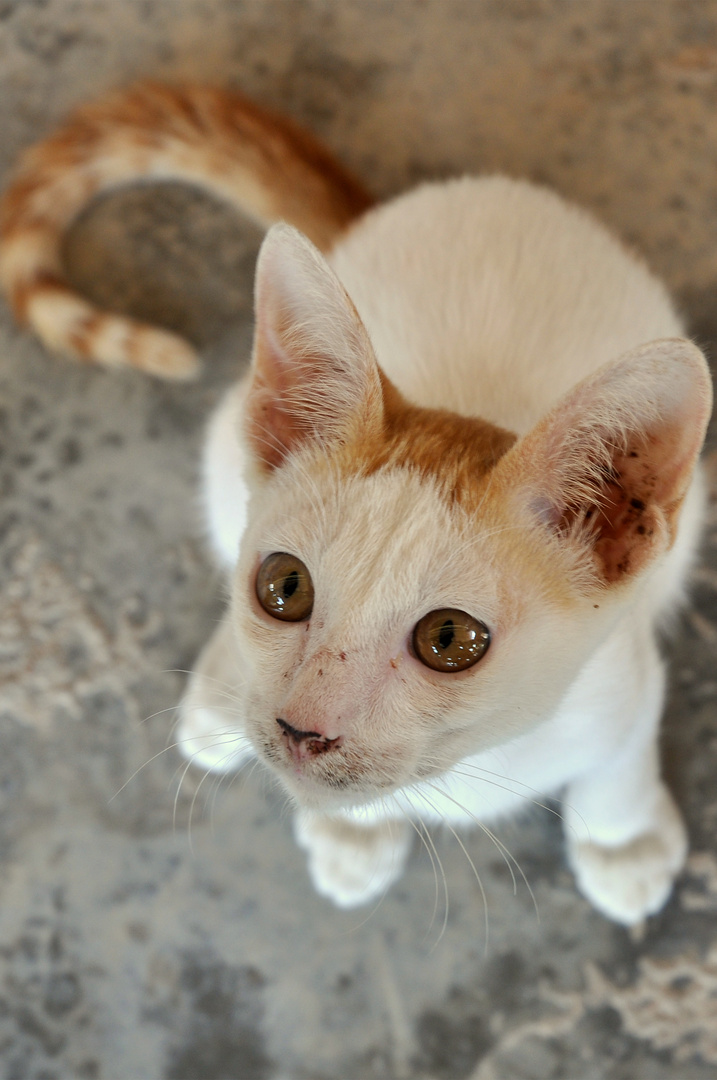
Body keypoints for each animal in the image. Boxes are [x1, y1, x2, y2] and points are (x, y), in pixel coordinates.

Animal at [2, 86, 712, 928]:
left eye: (449, 639)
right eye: (283, 587)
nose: (301, 731)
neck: (471, 764)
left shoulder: (624, 677)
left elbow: (619, 762)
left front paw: (619, 840)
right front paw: (355, 834)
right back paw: (217, 698)